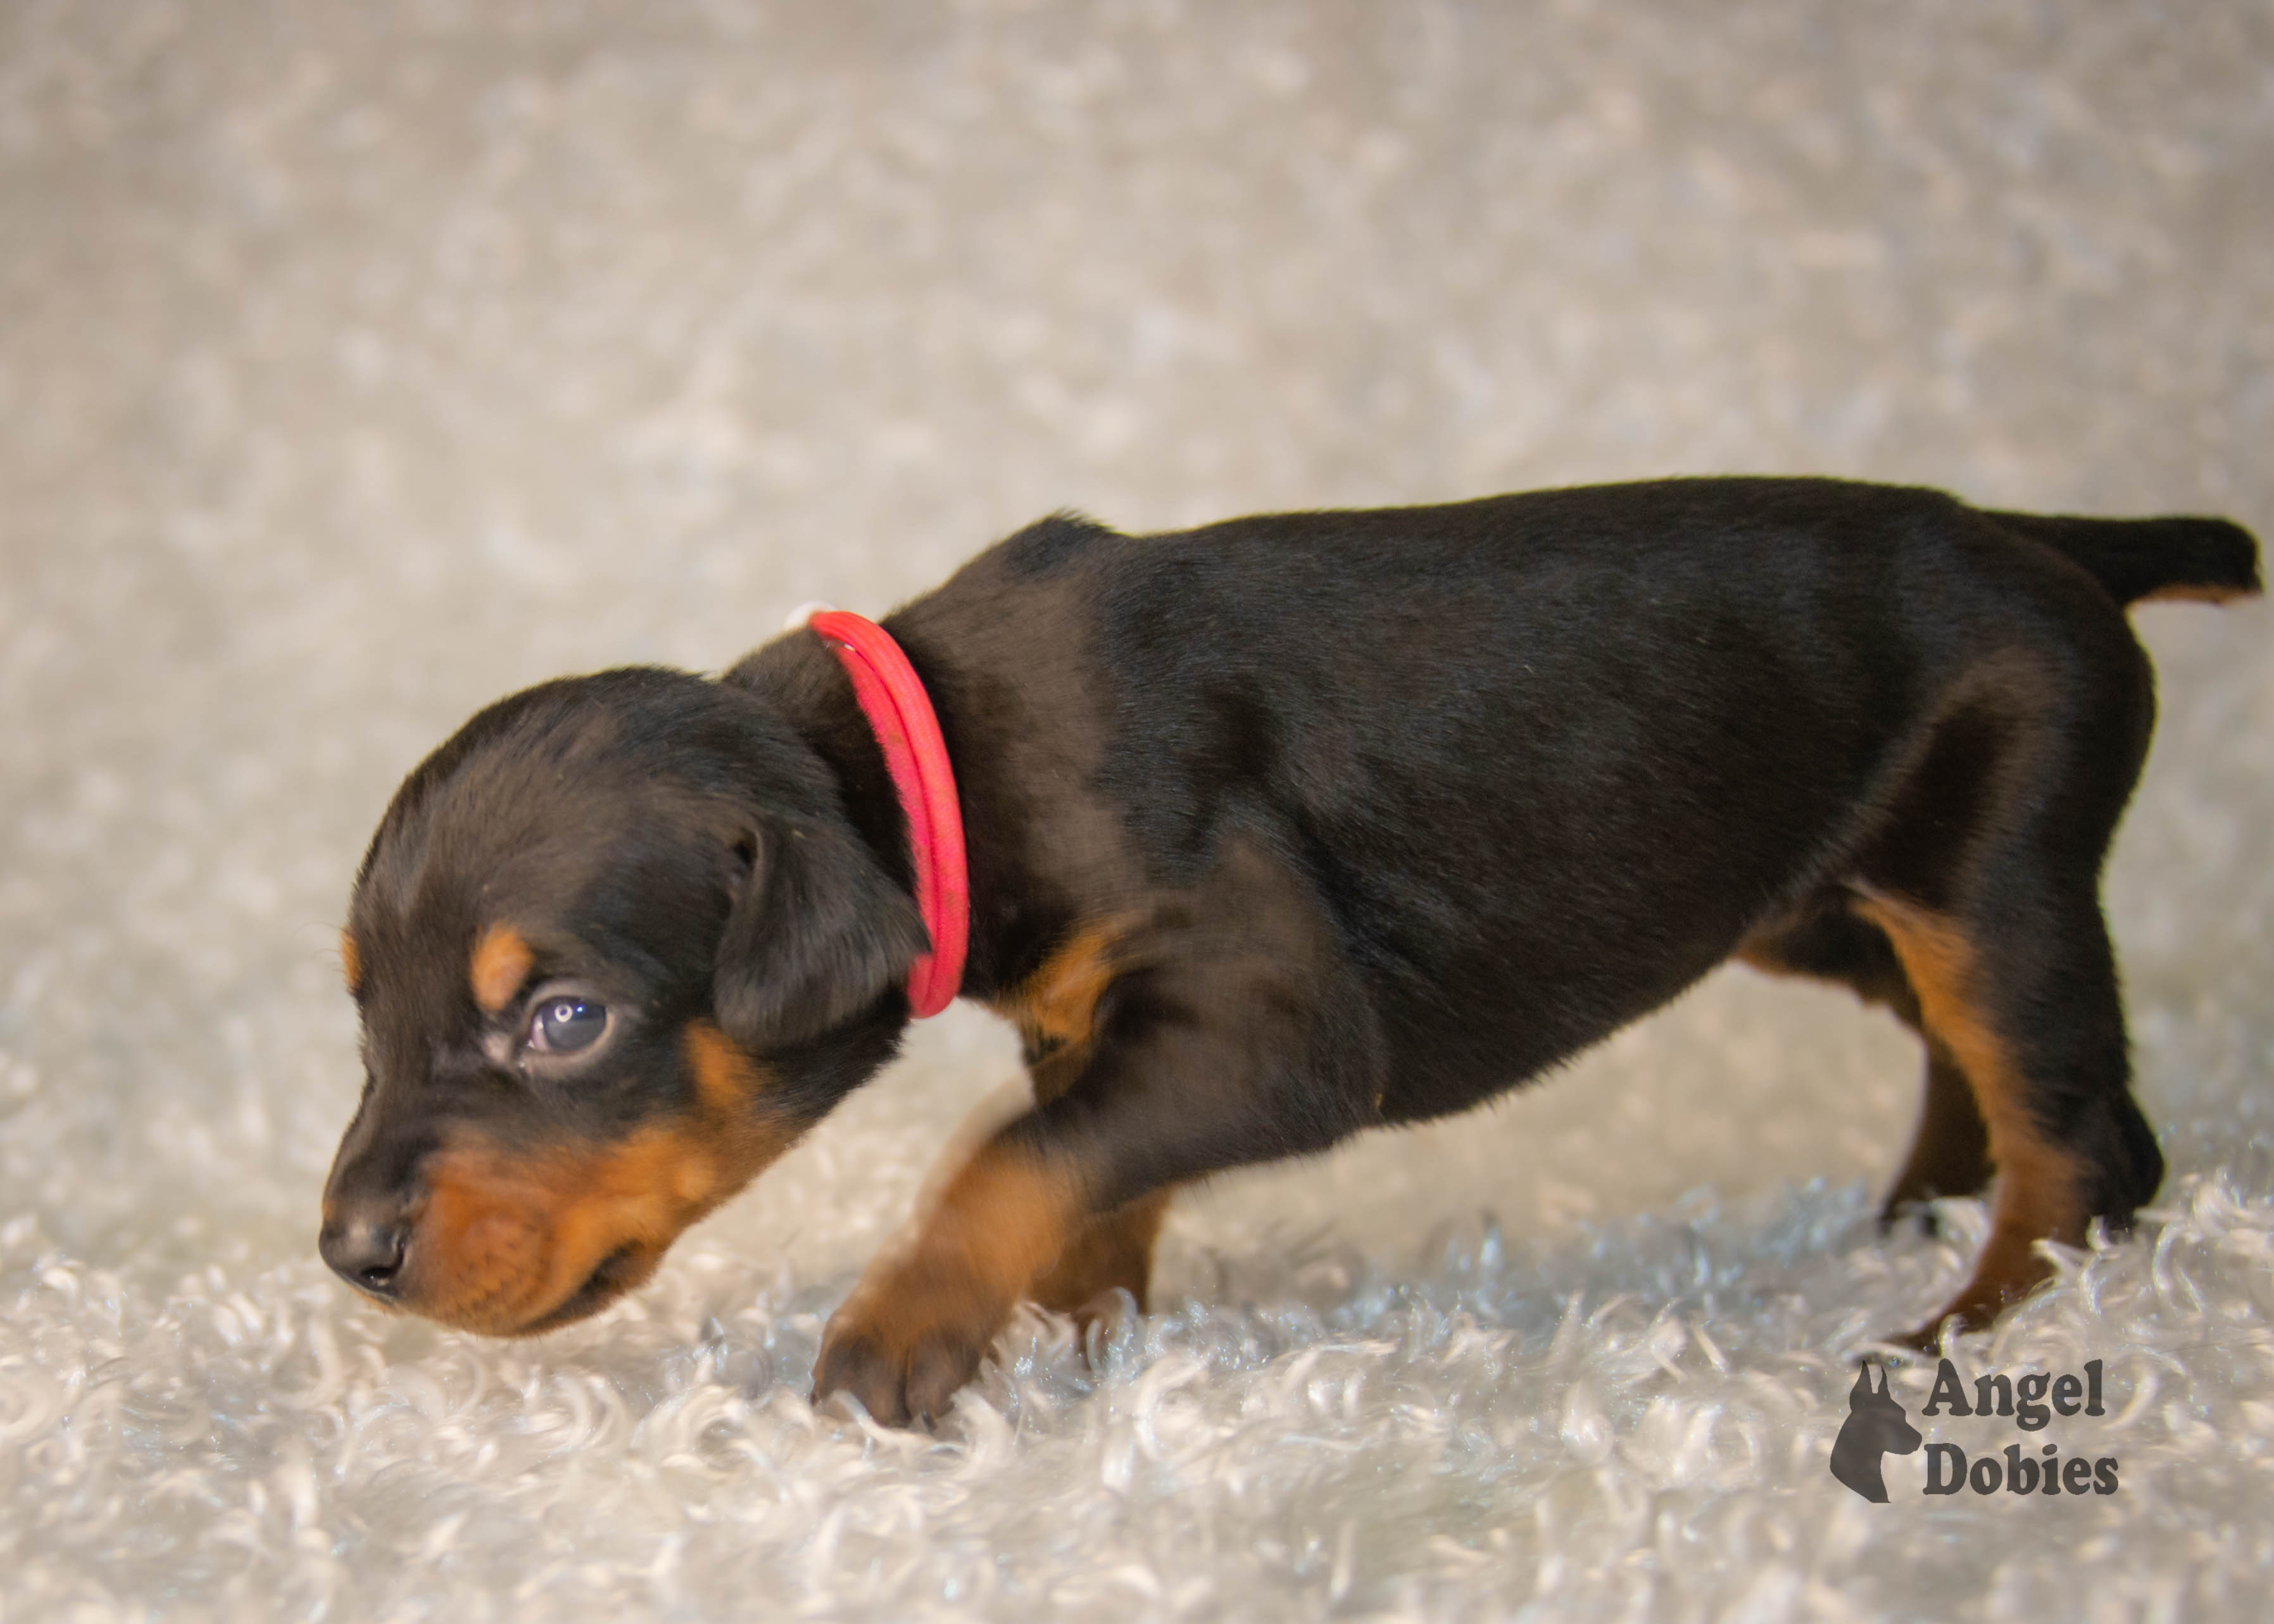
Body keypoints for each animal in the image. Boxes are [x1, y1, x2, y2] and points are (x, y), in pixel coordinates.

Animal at [320, 470, 2256, 1419]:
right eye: (360, 1020)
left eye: (563, 1020)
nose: (345, 1253)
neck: (934, 747)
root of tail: (2049, 540)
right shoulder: (1102, 1018)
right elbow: (1083, 1170)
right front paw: (1077, 1339)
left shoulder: (1268, 1017)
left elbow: (1005, 1151)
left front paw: (908, 1331)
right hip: (1814, 890)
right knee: (1950, 1040)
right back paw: (1915, 1215)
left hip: (1994, 860)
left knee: (2087, 1123)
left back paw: (1973, 1322)